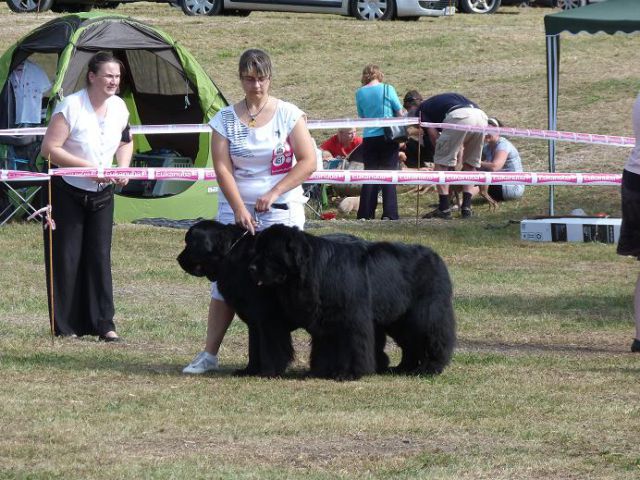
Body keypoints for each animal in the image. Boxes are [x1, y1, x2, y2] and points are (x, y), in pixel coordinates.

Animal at [176, 219, 296, 376]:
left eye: (189, 242)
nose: (178, 258)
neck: (230, 253)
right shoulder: (254, 320)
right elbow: (254, 347)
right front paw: (249, 371)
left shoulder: (267, 317)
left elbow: (270, 349)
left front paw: (268, 373)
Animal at [249, 224, 456, 378]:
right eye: (256, 250)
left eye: (269, 252)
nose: (251, 267)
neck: (313, 269)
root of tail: (436, 257)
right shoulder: (325, 320)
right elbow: (324, 347)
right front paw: (321, 371)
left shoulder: (350, 318)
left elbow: (352, 346)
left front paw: (348, 373)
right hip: (399, 319)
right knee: (410, 343)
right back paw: (403, 368)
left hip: (425, 313)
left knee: (433, 336)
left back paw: (431, 368)